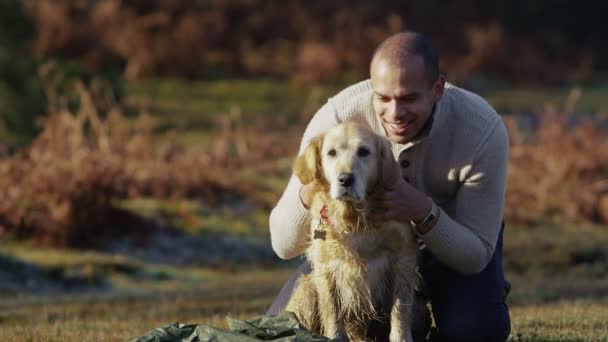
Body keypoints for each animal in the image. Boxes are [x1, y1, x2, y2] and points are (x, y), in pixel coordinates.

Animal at [286, 121, 420, 340]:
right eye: (331, 152)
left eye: (364, 151)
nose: (345, 179)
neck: (354, 217)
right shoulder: (326, 265)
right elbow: (331, 308)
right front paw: (335, 336)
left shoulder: (403, 258)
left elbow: (400, 308)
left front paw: (400, 337)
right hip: (307, 289)